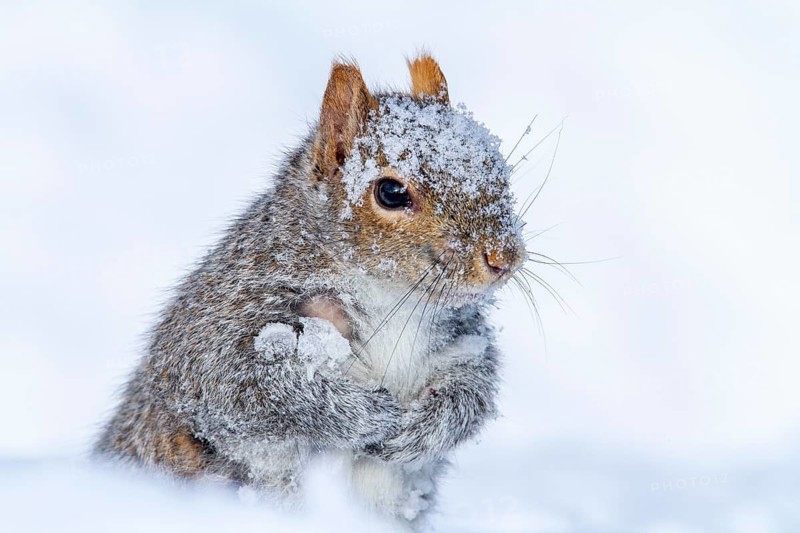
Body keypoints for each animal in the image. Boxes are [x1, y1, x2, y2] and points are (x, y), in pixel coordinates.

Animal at [95, 53, 525, 529]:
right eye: (391, 192)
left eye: (499, 167)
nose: (504, 258)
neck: (395, 299)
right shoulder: (222, 327)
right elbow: (256, 389)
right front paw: (370, 416)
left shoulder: (462, 341)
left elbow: (472, 392)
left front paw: (427, 427)